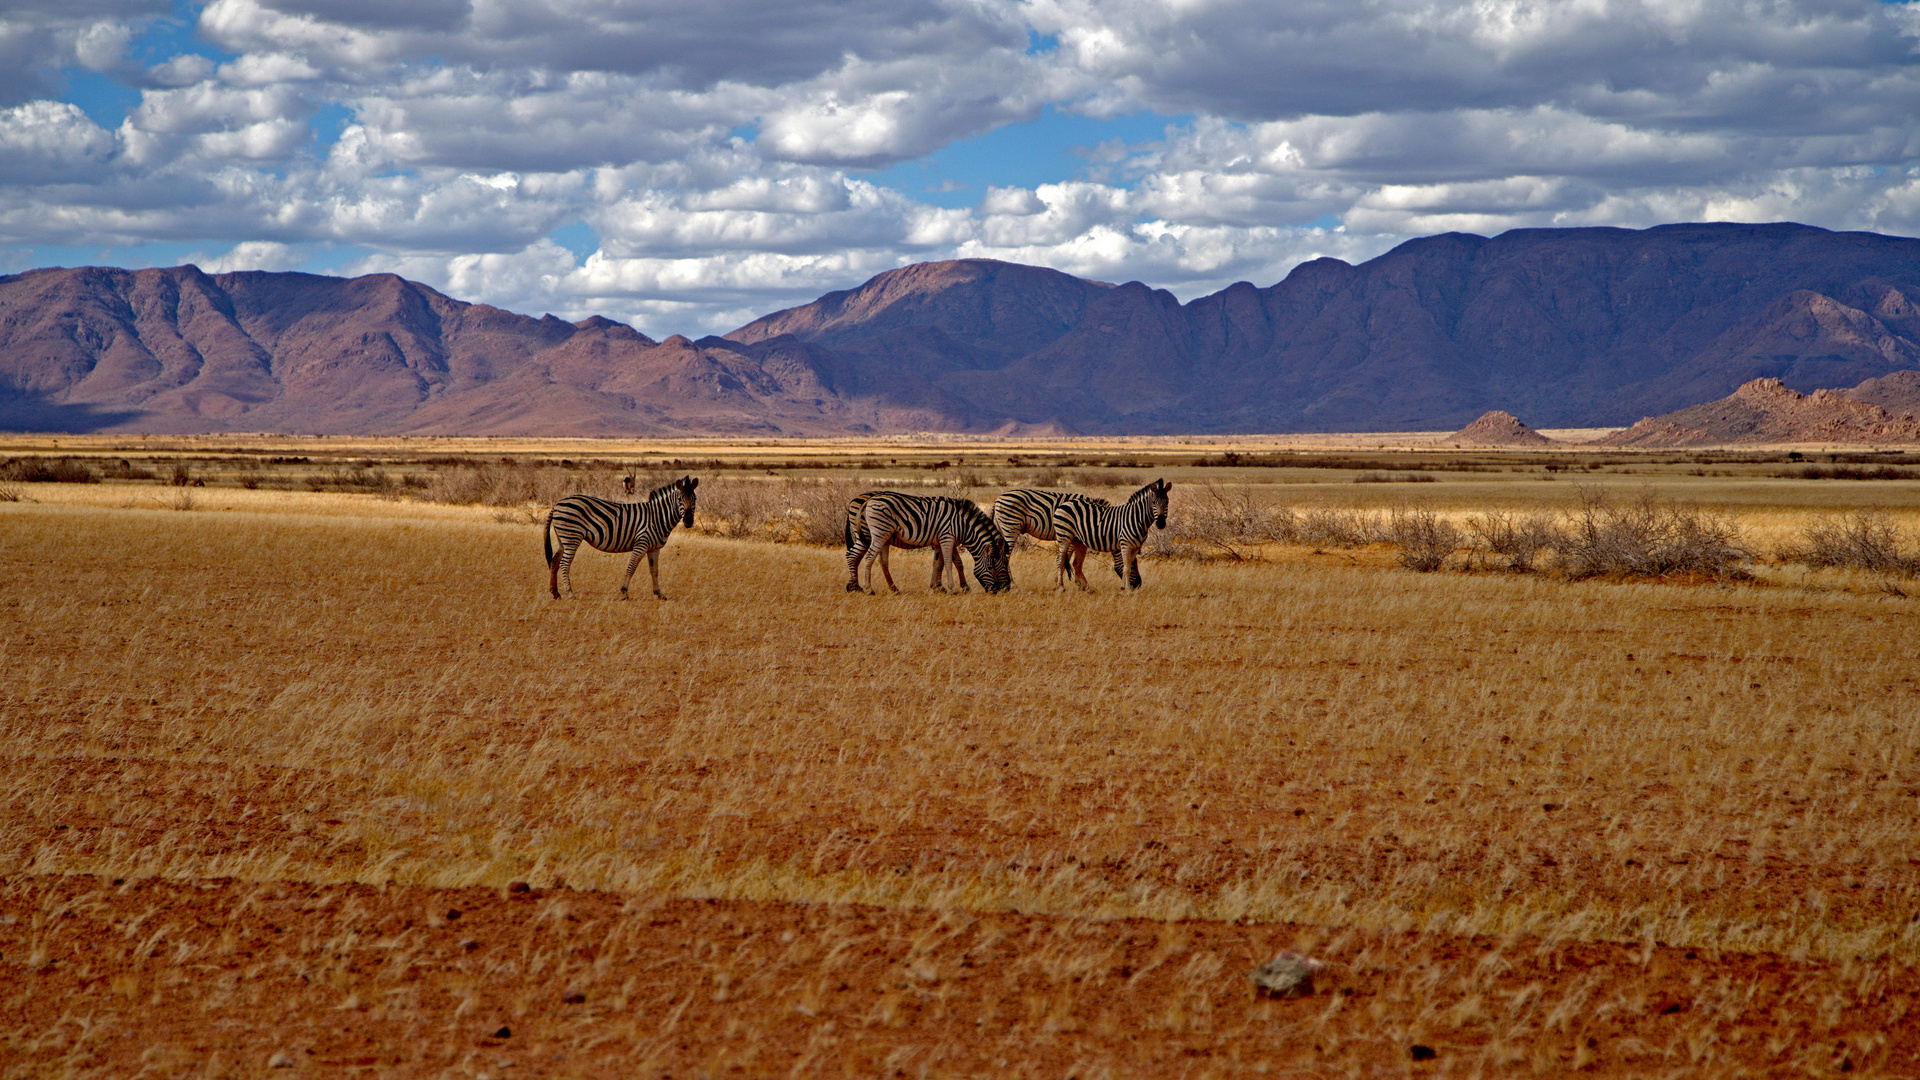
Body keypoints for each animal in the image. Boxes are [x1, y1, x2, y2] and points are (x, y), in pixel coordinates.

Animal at [545, 476, 702, 599]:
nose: (689, 521)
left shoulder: (654, 548)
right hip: (572, 537)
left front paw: (659, 593)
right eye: (680, 499)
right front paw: (624, 592)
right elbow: (631, 567)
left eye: (694, 499)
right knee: (565, 563)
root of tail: (558, 503)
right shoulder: (641, 543)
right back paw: (570, 593)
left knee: (555, 561)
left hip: (563, 538)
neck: (658, 517)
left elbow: (654, 571)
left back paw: (555, 592)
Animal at [848, 490, 1013, 591]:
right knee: (864, 556)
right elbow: (948, 563)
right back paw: (866, 588)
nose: (1003, 589)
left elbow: (942, 563)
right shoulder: (947, 537)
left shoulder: (942, 540)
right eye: (991, 567)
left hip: (883, 536)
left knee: (880, 561)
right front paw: (953, 588)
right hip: (877, 533)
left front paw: (939, 587)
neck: (963, 525)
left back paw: (892, 589)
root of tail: (869, 500)